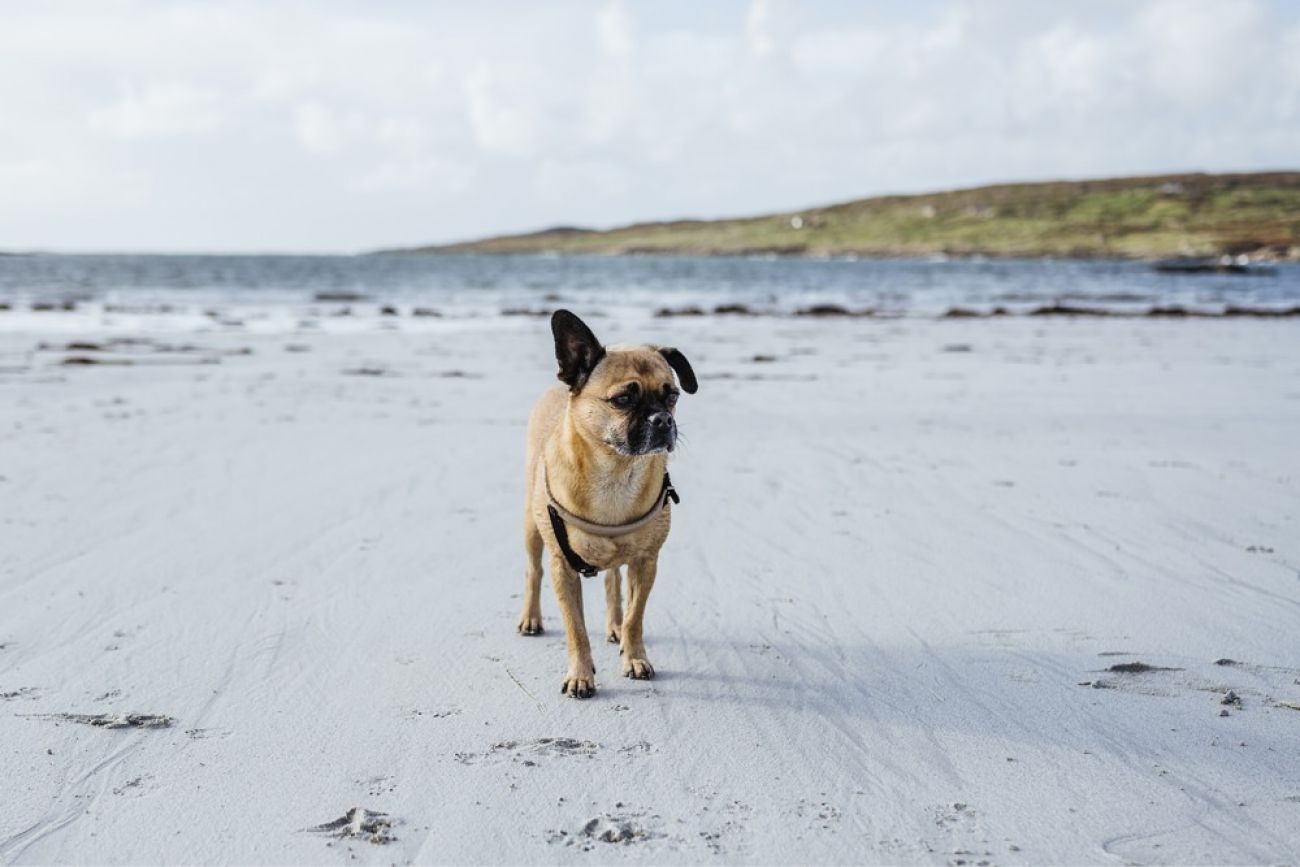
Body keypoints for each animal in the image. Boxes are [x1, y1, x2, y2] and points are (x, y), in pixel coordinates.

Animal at [520, 310, 702, 696]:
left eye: (673, 396)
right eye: (623, 400)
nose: (662, 419)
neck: (616, 471)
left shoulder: (646, 563)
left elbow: (635, 616)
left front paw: (634, 657)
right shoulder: (562, 569)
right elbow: (576, 629)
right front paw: (580, 675)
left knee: (613, 583)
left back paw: (614, 625)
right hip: (531, 526)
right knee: (533, 570)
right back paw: (530, 617)